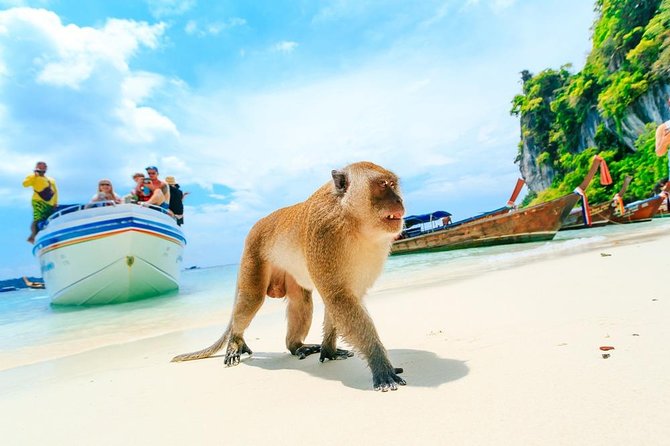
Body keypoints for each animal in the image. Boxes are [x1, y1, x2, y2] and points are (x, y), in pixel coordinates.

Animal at [172, 161, 406, 391]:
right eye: (383, 185)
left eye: (393, 185)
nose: (399, 200)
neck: (352, 219)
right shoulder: (325, 233)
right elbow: (338, 297)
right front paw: (380, 365)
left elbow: (339, 299)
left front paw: (329, 350)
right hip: (253, 255)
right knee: (251, 299)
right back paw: (235, 341)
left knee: (300, 301)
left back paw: (296, 346)